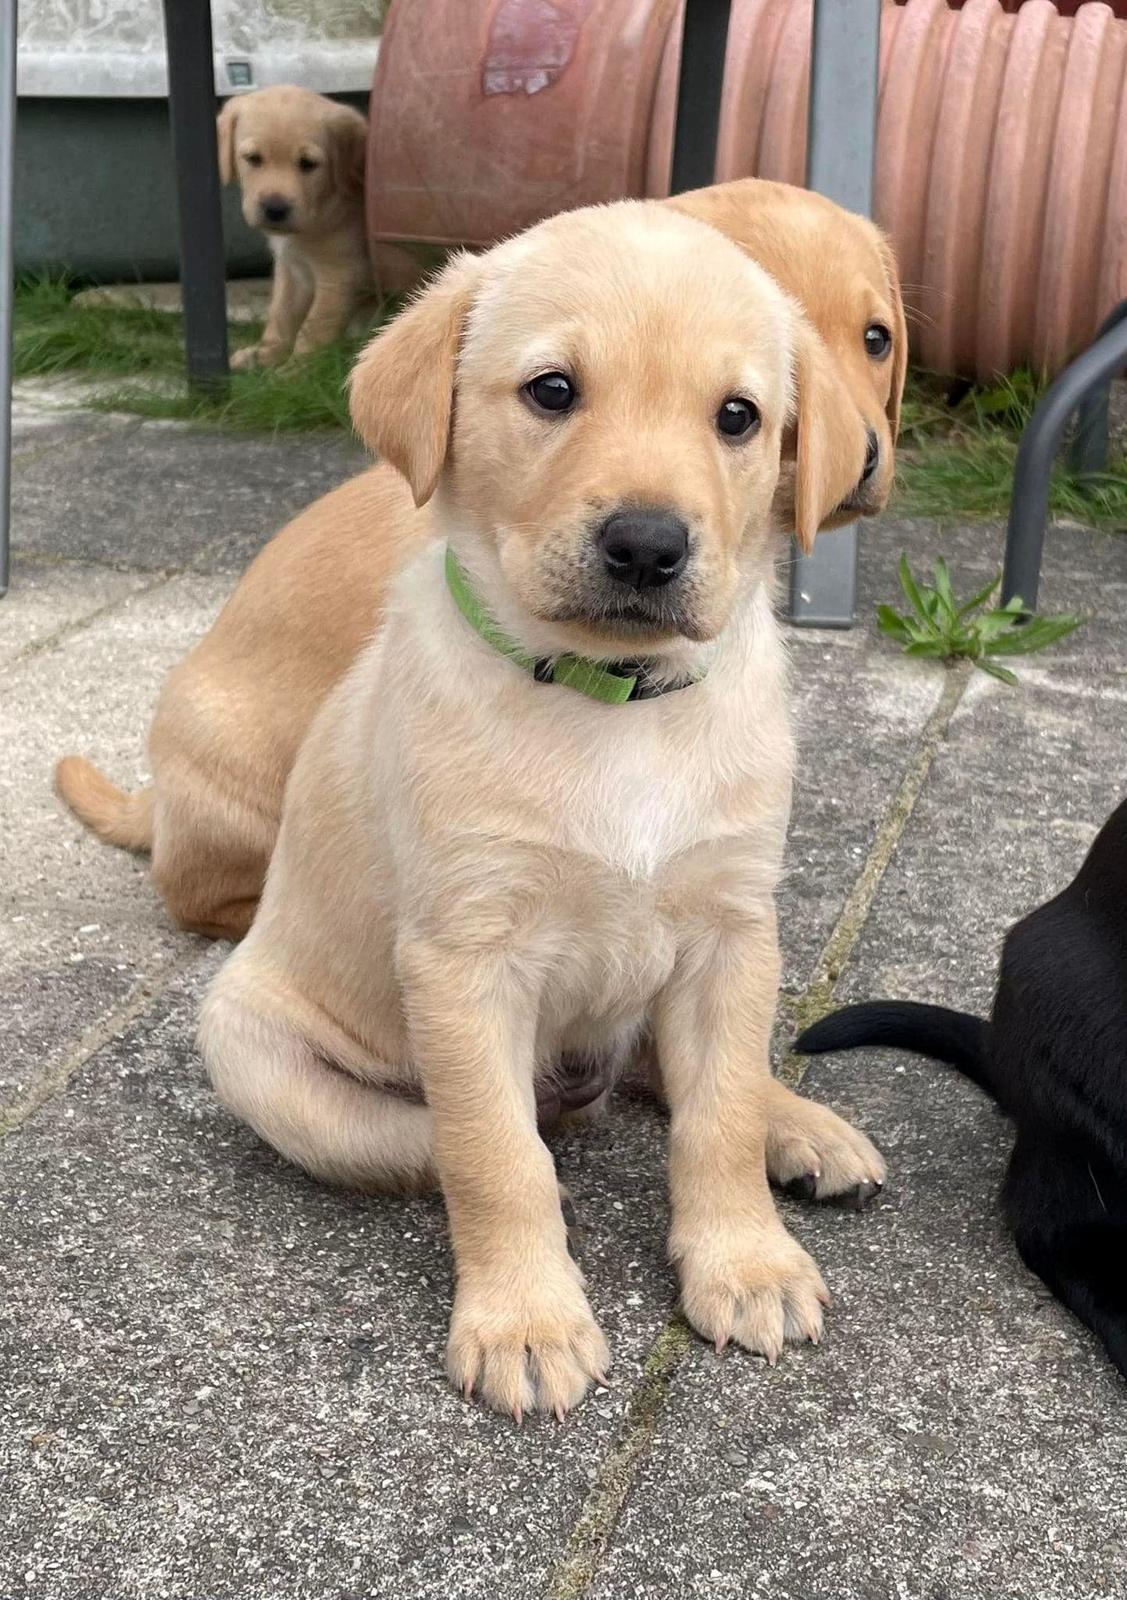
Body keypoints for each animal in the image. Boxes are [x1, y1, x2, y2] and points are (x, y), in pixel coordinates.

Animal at [198, 196, 883, 1414]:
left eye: (739, 417)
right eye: (552, 391)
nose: (648, 545)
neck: (614, 702)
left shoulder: (731, 931)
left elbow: (715, 1114)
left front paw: (744, 1261)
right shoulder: (464, 958)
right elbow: (492, 1153)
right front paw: (524, 1320)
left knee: (691, 1079)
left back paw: (800, 1131)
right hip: (251, 1045)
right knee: (453, 1138)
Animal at [219, 86, 374, 369]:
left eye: (308, 163)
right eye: (253, 159)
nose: (274, 208)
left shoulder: (341, 276)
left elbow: (314, 328)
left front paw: (295, 369)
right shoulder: (292, 271)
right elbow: (281, 316)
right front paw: (265, 357)